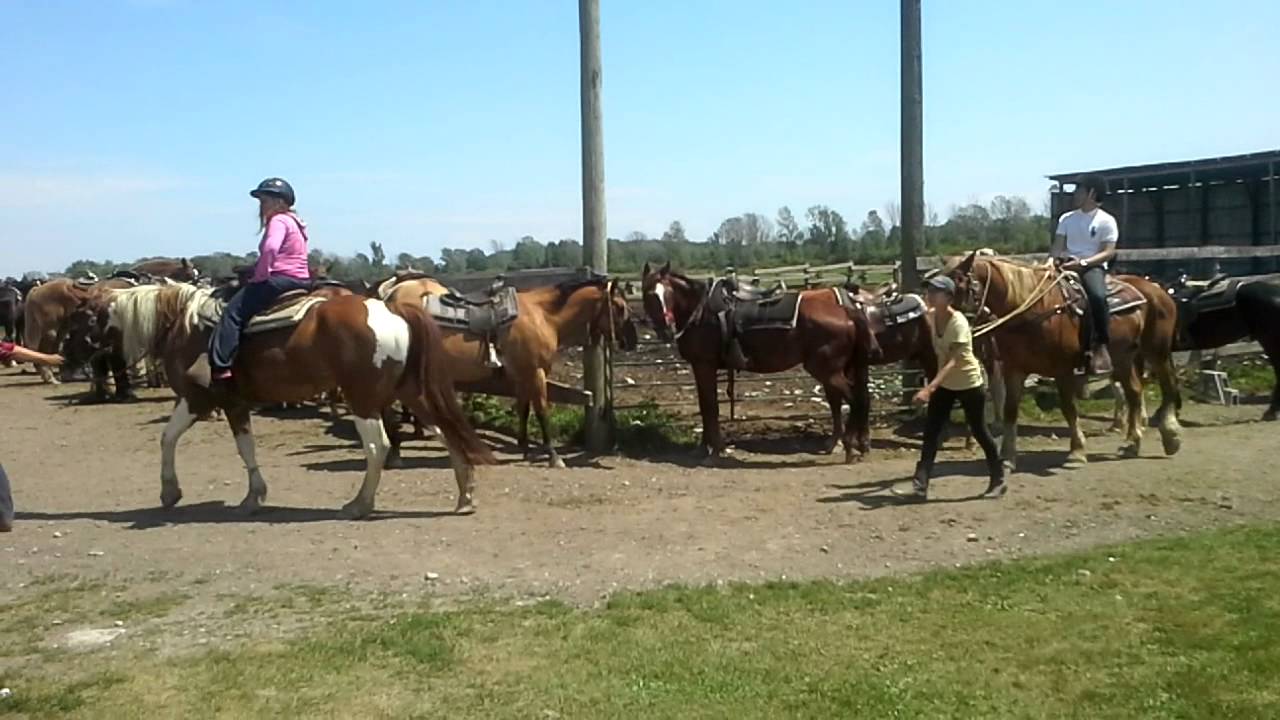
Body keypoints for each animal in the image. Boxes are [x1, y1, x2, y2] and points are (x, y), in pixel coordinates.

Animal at [86, 283, 494, 517]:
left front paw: (171, 491)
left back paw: (360, 504)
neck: (186, 325)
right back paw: (465, 496)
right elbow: (241, 446)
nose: (88, 354)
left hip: (363, 397)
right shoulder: (232, 404)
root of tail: (390, 308)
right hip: (407, 391)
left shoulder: (200, 398)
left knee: (377, 446)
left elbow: (172, 438)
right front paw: (252, 495)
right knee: (445, 432)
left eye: (87, 315)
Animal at [378, 272, 640, 466]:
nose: (632, 341)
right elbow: (542, 410)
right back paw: (395, 452)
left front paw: (524, 447)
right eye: (619, 306)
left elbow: (523, 409)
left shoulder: (521, 375)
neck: (542, 315)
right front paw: (553, 455)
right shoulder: (536, 373)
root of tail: (389, 297)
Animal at [645, 260, 875, 461]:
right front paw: (704, 448)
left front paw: (715, 449)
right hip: (840, 369)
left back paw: (849, 446)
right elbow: (706, 405)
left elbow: (710, 407)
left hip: (828, 370)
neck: (701, 312)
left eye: (667, 293)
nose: (666, 331)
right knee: (852, 399)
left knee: (856, 400)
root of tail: (847, 311)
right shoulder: (701, 367)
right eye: (650, 295)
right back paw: (851, 445)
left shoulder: (704, 366)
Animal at [942, 249, 1177, 468]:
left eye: (959, 287)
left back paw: (1170, 436)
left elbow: (1069, 408)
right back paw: (1132, 442)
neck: (1034, 311)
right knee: (1134, 392)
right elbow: (1010, 410)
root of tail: (1155, 289)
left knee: (1166, 387)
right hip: (1124, 358)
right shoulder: (1014, 369)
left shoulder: (1062, 370)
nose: (947, 328)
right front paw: (1007, 457)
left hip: (1157, 352)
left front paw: (1077, 452)